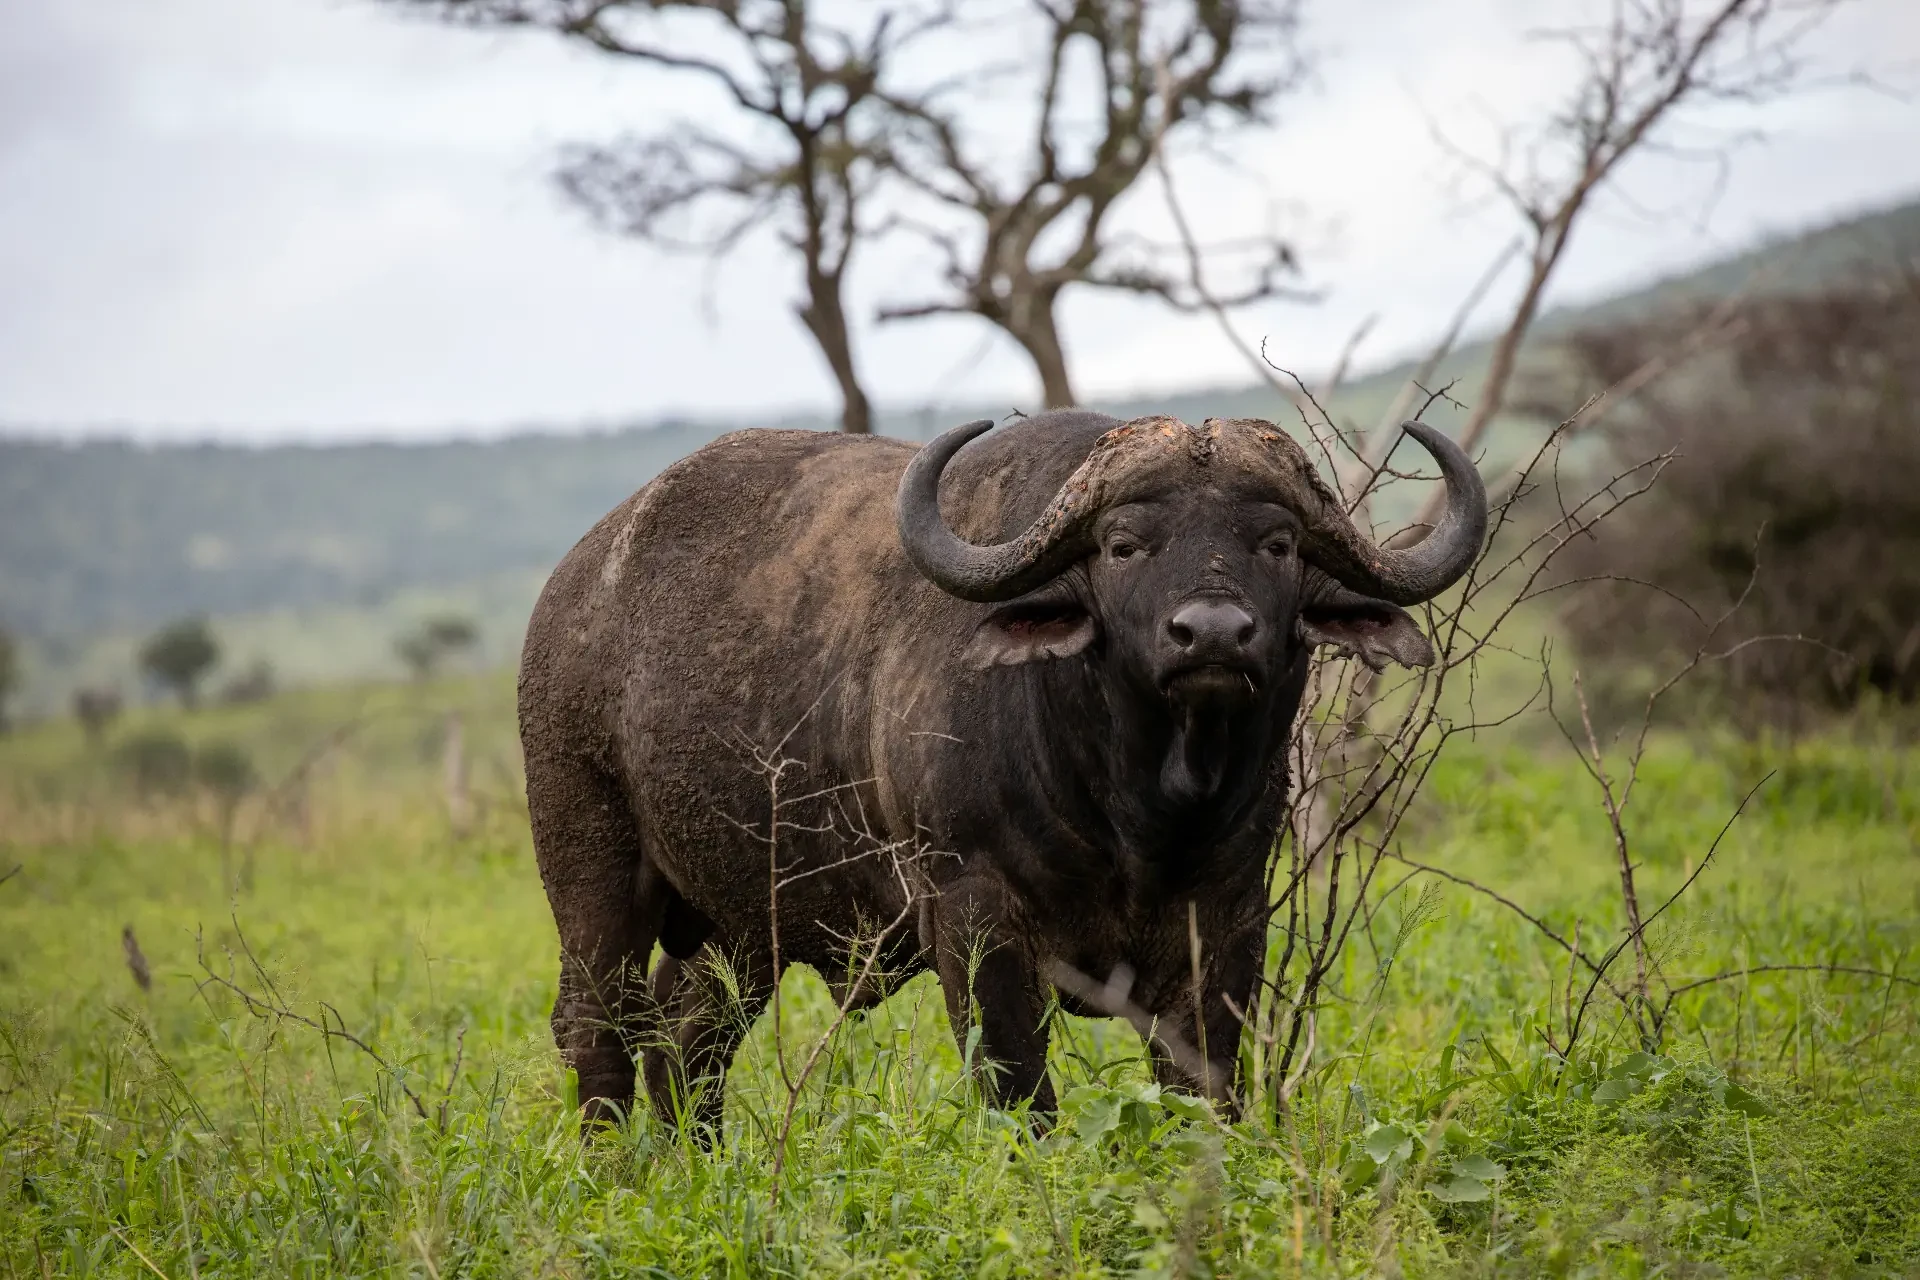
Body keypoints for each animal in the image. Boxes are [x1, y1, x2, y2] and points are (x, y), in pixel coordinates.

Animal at [519, 410, 1485, 1129]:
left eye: (1277, 543)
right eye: (1123, 545)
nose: (1211, 634)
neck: (1140, 811)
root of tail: (575, 584)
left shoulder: (1229, 916)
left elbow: (1205, 1085)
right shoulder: (975, 918)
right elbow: (1019, 1090)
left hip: (740, 921)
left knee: (687, 1038)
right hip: (589, 862)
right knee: (597, 1024)